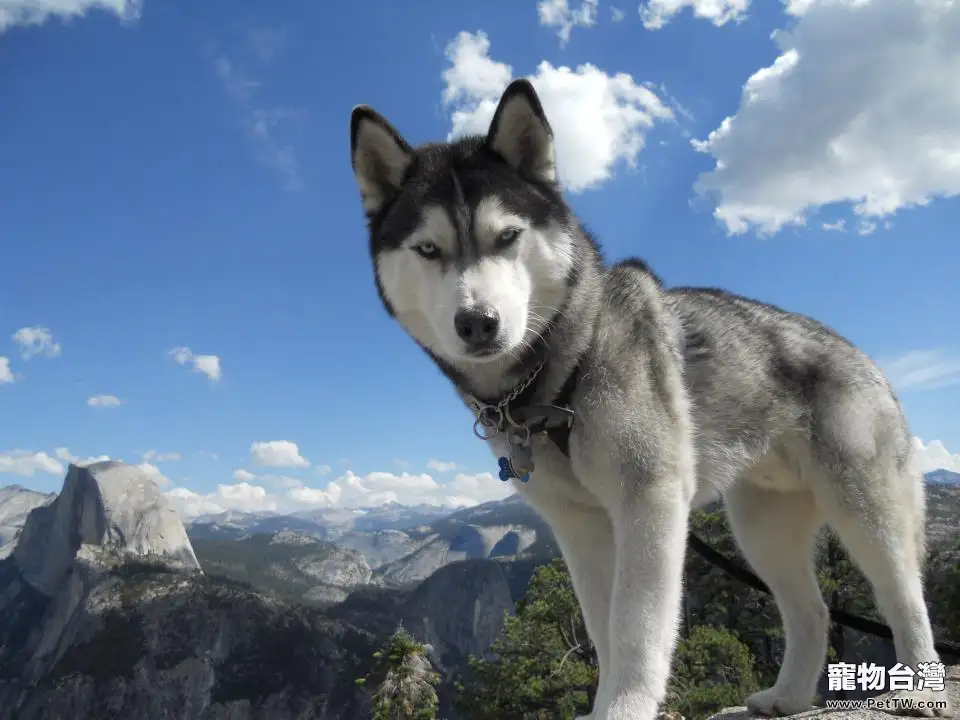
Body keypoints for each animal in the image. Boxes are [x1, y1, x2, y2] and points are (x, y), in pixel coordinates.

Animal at [346, 80, 952, 720]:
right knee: (811, 611)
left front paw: (625, 706)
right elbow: (603, 629)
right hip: (761, 529)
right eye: (428, 249)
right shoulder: (580, 526)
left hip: (865, 507)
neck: (561, 373)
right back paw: (786, 696)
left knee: (904, 596)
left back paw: (920, 685)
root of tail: (863, 355)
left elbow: (636, 629)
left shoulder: (651, 500)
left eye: (507, 237)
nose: (478, 323)